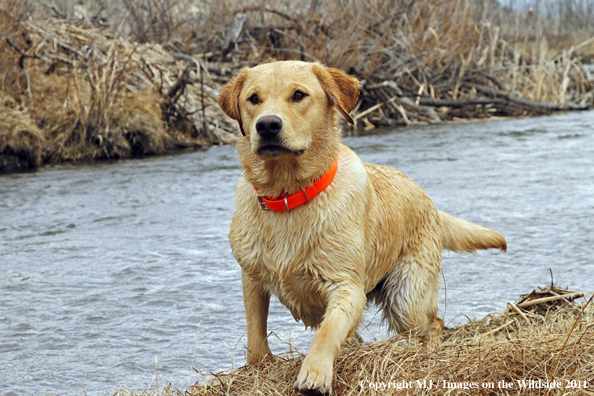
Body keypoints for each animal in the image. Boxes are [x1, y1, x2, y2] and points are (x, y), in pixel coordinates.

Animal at [217, 60, 504, 394]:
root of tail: (426, 196)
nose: (267, 125)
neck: (289, 197)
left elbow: (328, 331)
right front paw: (260, 365)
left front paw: (315, 373)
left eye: (298, 95)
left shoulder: (346, 286)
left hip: (406, 295)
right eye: (253, 99)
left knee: (432, 324)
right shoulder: (251, 278)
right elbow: (254, 333)